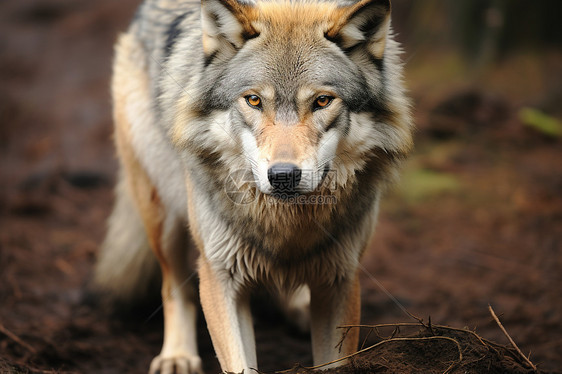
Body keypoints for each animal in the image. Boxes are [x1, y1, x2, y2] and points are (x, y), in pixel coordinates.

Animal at [93, 0, 412, 372]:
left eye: (322, 101)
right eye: (254, 100)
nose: (284, 175)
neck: (286, 223)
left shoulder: (341, 280)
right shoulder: (220, 277)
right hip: (162, 214)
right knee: (174, 287)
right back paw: (177, 355)